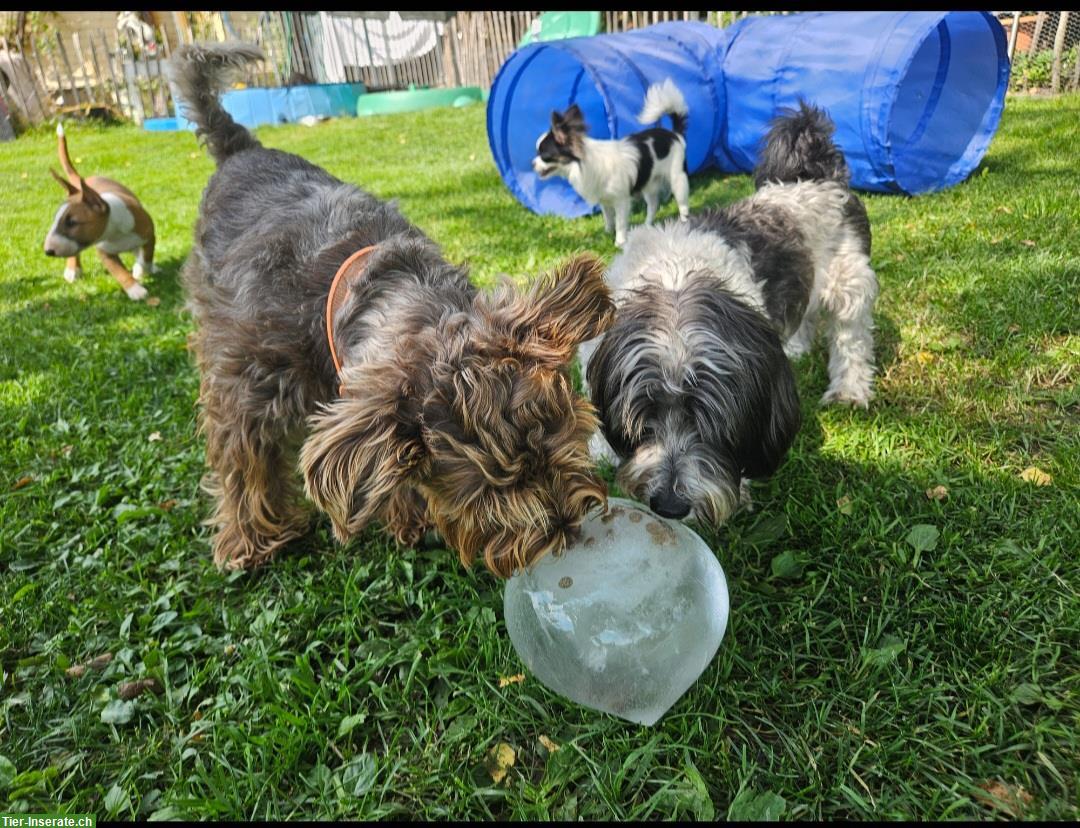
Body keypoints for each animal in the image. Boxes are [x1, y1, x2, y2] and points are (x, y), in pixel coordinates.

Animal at [172, 43, 622, 578]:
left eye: (562, 442)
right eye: (490, 488)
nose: (565, 529)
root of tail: (240, 147)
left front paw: (408, 512)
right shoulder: (248, 385)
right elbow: (244, 461)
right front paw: (250, 540)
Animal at [531, 78, 691, 248]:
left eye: (544, 156)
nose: (532, 164)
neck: (580, 165)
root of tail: (674, 135)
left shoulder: (621, 200)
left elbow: (620, 223)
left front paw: (619, 242)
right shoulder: (604, 200)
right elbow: (608, 218)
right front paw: (607, 233)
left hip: (677, 179)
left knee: (683, 206)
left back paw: (684, 223)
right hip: (649, 184)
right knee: (653, 205)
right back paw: (647, 226)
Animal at [583, 100, 876, 522]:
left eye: (717, 428)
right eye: (644, 418)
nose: (670, 505)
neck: (674, 276)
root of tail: (819, 176)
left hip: (847, 281)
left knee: (851, 340)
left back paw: (849, 389)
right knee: (803, 311)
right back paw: (797, 348)